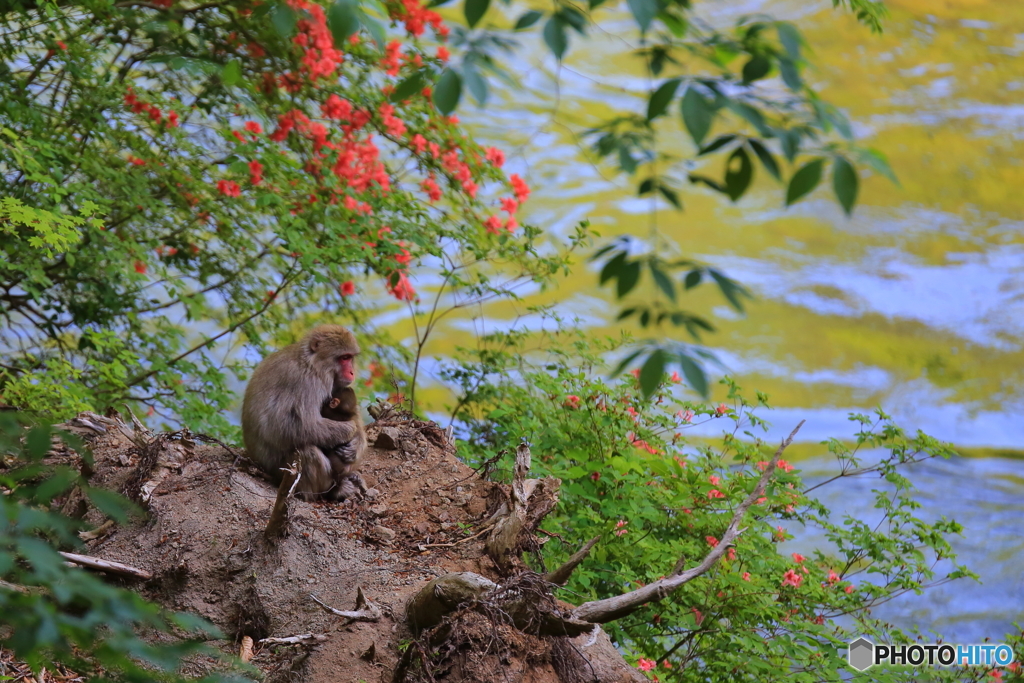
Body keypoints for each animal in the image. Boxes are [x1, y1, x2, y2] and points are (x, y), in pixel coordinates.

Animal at [239, 323, 368, 499]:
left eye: (350, 357)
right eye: (344, 358)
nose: (351, 372)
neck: (313, 363)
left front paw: (355, 445)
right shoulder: (307, 382)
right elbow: (287, 427)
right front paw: (349, 430)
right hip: (280, 471)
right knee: (306, 450)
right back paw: (330, 490)